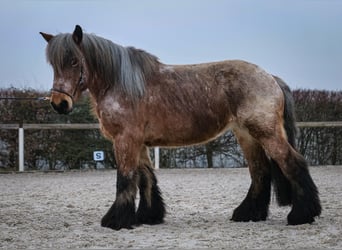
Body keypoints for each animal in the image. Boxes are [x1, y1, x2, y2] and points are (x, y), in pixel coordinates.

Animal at [40, 25, 320, 230]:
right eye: (53, 64)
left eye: (74, 62)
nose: (59, 103)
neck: (121, 83)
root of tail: (271, 77)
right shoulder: (139, 143)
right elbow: (146, 178)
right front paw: (148, 216)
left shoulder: (125, 139)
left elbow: (125, 178)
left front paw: (116, 220)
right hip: (247, 135)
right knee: (260, 172)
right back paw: (248, 213)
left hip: (266, 133)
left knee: (292, 163)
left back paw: (302, 214)